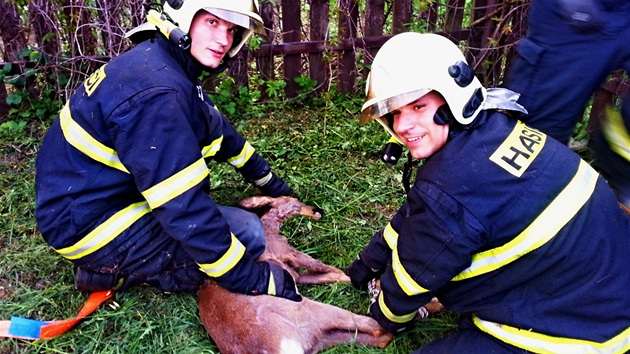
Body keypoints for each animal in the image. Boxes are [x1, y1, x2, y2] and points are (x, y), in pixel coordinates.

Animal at [198, 196, 396, 354]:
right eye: (293, 199)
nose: (316, 209)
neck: (270, 229)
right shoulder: (289, 253)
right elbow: (323, 266)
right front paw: (357, 277)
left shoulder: (295, 274)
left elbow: (325, 274)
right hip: (307, 312)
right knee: (376, 327)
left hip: (317, 338)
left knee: (379, 338)